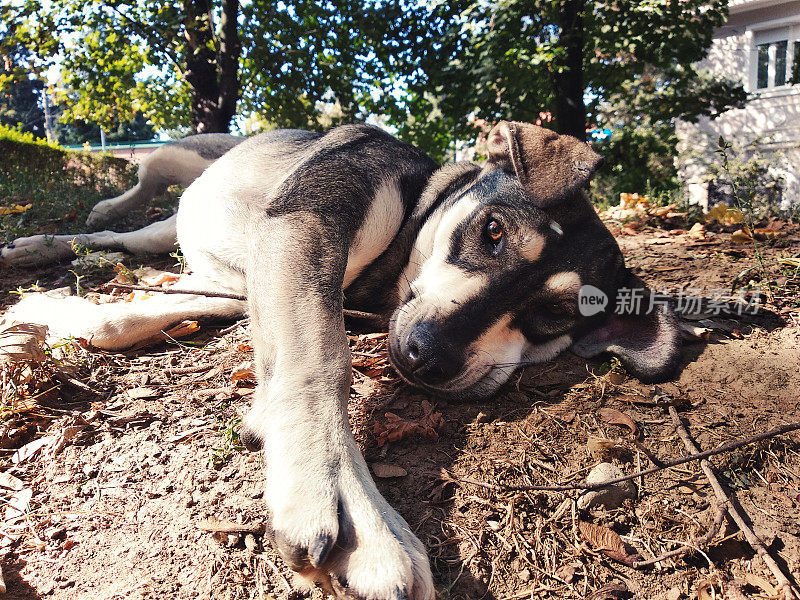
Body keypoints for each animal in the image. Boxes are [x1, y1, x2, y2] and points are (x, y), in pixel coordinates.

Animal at [6, 123, 680, 600]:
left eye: (554, 315)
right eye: (491, 231)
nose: (427, 355)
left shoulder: (237, 286)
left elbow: (124, 320)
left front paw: (48, 310)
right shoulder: (302, 225)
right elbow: (320, 360)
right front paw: (341, 494)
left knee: (135, 240)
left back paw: (53, 249)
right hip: (188, 157)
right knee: (140, 190)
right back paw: (74, 225)